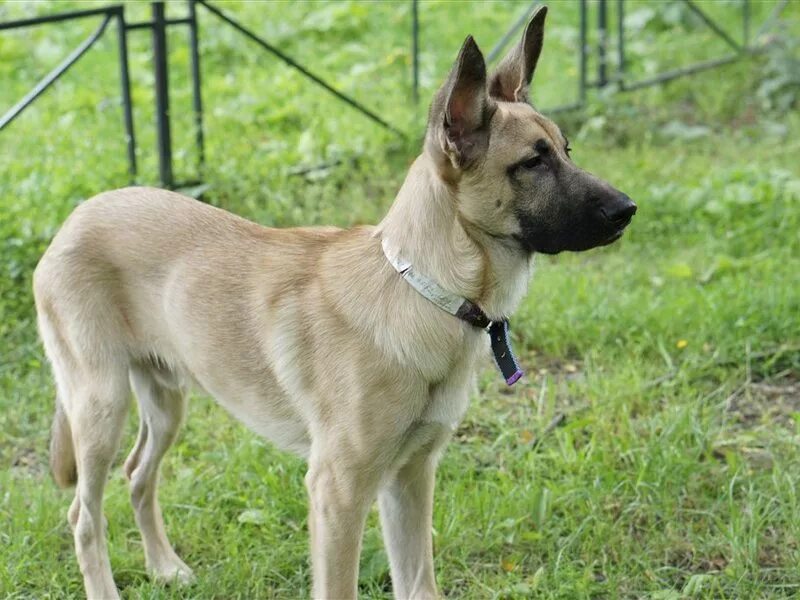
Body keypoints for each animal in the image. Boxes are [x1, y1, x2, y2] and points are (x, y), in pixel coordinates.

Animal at [32, 7, 636, 596]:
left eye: (566, 150)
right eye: (532, 163)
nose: (628, 209)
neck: (421, 291)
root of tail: (74, 218)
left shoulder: (409, 479)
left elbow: (420, 584)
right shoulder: (338, 493)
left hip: (164, 401)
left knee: (138, 475)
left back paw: (165, 567)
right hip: (100, 407)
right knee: (84, 518)